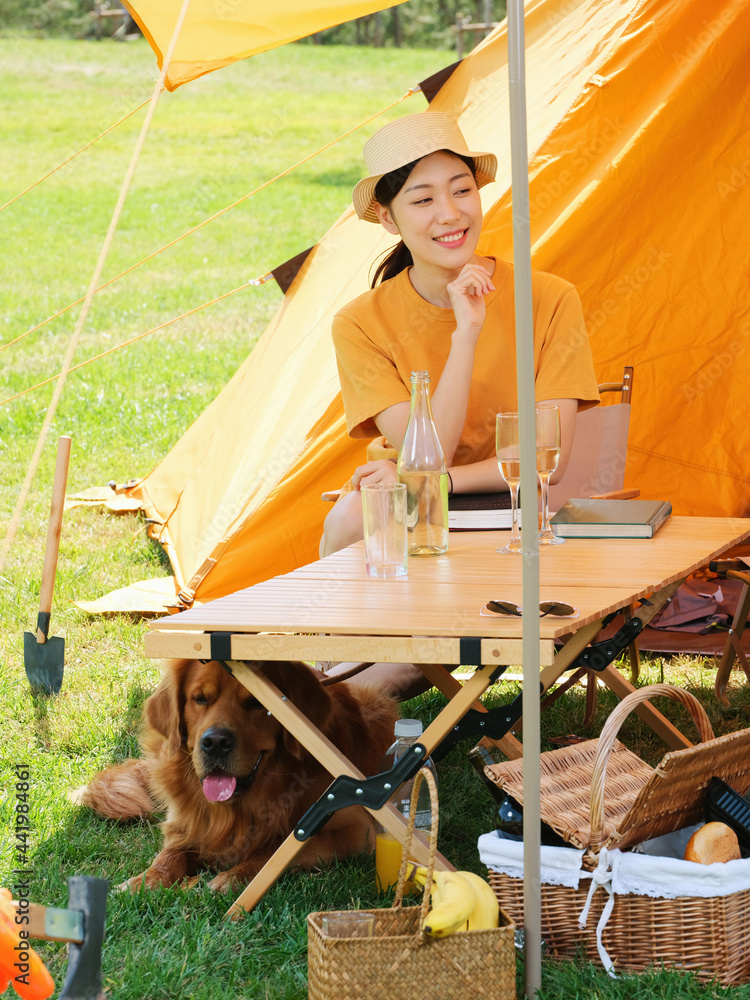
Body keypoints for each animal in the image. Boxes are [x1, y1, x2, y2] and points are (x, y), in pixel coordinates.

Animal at [73, 660, 402, 896]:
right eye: (199, 699)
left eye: (256, 702)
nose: (215, 743)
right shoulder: (184, 824)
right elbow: (168, 855)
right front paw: (144, 881)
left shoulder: (352, 830)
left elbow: (273, 851)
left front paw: (233, 877)